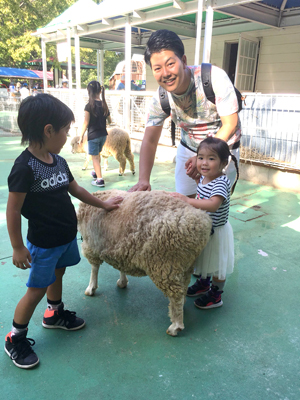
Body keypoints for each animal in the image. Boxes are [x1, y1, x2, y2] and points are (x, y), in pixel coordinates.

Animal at [78, 189, 212, 336]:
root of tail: (201, 221)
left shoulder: (91, 246)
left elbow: (94, 268)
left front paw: (91, 288)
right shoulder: (120, 248)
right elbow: (120, 266)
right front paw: (122, 282)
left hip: (165, 264)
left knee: (175, 294)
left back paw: (175, 326)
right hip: (185, 265)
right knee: (183, 288)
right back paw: (181, 308)